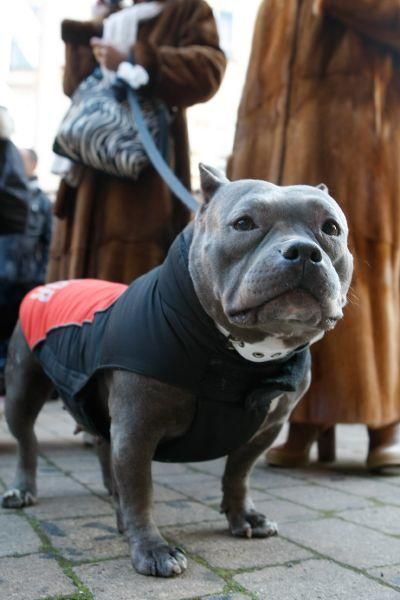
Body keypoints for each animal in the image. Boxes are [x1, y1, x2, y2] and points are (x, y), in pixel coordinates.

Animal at [1, 164, 352, 576]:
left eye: (331, 228)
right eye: (244, 223)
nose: (304, 251)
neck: (239, 358)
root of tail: (54, 282)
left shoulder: (266, 428)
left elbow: (238, 473)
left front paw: (243, 516)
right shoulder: (137, 430)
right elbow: (141, 493)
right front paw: (151, 549)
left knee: (103, 444)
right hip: (22, 391)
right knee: (28, 443)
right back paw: (23, 489)